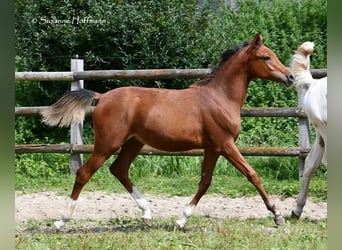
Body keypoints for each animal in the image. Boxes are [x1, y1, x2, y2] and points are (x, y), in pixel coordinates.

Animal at [42, 33, 294, 230]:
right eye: (266, 57)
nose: (290, 76)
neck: (220, 97)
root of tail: (102, 97)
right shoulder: (225, 144)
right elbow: (252, 175)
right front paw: (278, 216)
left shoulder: (212, 148)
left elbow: (205, 182)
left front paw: (181, 220)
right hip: (107, 143)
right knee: (84, 173)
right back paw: (61, 221)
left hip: (134, 142)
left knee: (119, 169)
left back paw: (147, 214)